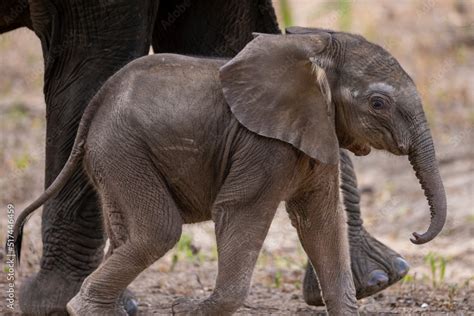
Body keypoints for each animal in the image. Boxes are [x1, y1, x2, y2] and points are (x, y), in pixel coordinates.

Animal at [0, 0, 408, 314]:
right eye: (378, 104)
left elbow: (320, 219)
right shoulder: (263, 153)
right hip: (122, 151)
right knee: (160, 229)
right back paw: (79, 305)